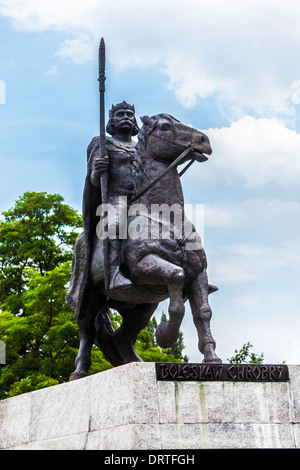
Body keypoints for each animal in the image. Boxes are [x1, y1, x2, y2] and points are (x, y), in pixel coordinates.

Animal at [69, 114, 221, 382]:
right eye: (166, 126)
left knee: (122, 337)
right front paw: (164, 336)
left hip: (143, 304)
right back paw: (79, 371)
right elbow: (177, 286)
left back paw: (134, 362)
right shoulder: (144, 264)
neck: (167, 218)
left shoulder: (199, 272)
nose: (204, 140)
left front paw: (212, 358)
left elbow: (203, 312)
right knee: (86, 332)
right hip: (89, 296)